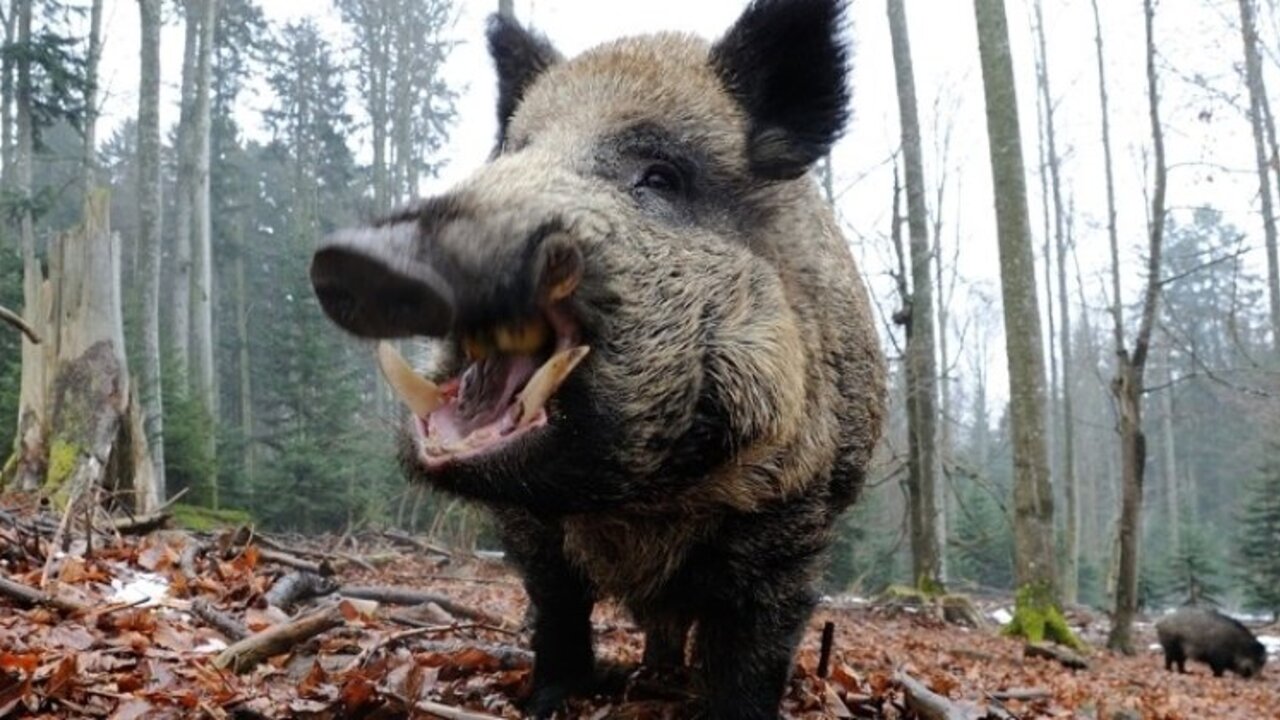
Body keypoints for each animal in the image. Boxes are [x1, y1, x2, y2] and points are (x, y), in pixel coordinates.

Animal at [309, 0, 886, 717]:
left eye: (659, 176)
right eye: (516, 149)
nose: (357, 257)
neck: (631, 500)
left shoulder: (796, 514)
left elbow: (753, 651)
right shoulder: (529, 529)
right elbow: (557, 610)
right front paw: (548, 700)